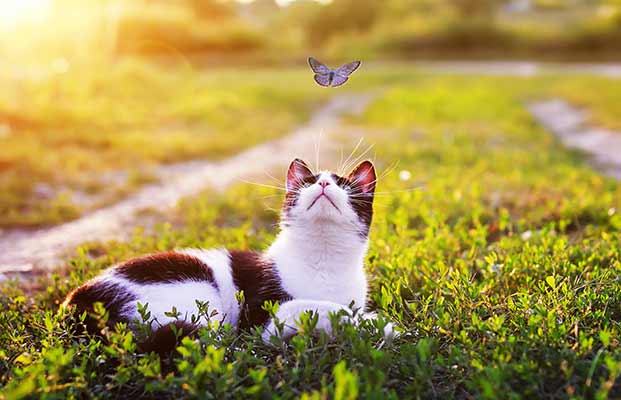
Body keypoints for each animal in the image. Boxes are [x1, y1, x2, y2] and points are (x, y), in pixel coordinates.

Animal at [63, 158, 392, 352]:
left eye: (343, 185)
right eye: (307, 183)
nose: (322, 183)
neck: (323, 258)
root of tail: (76, 299)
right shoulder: (261, 316)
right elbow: (317, 306)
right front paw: (377, 323)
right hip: (197, 296)